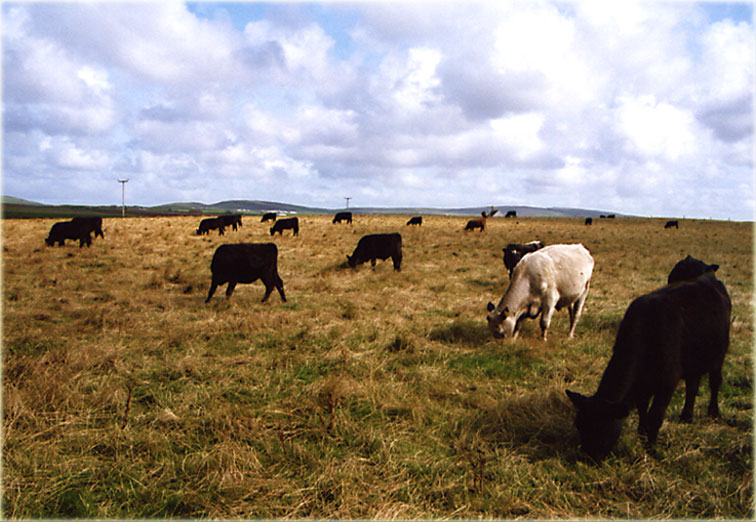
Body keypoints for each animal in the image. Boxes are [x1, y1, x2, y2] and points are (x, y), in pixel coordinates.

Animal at [568, 256, 732, 460]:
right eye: (579, 425)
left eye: (602, 428)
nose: (587, 458)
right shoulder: (642, 384)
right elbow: (642, 408)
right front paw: (641, 432)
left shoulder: (668, 379)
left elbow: (655, 415)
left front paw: (651, 448)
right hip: (693, 359)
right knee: (692, 386)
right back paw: (686, 416)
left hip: (719, 353)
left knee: (715, 382)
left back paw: (713, 413)